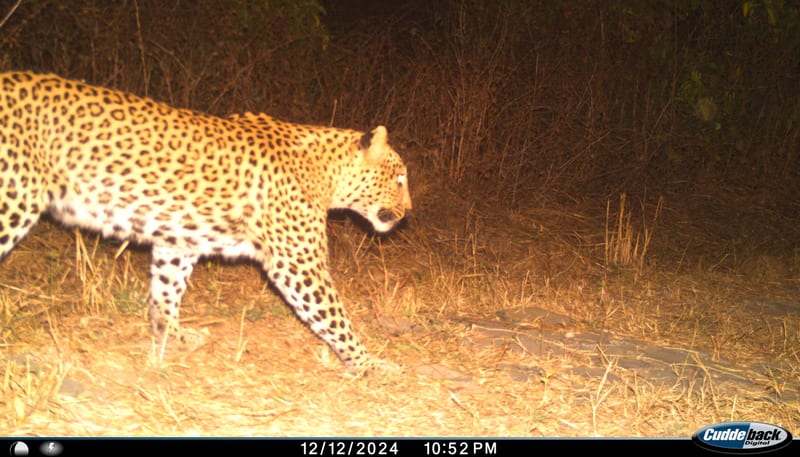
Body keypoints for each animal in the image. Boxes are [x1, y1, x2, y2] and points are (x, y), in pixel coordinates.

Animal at [0, 71, 412, 372]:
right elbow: (334, 316)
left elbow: (165, 290)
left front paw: (171, 336)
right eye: (400, 178)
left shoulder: (177, 240)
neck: (326, 172)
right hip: (14, 200)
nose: (409, 212)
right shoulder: (296, 262)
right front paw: (369, 363)